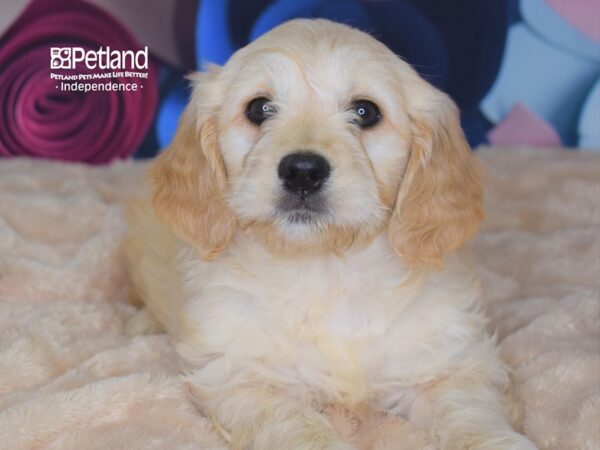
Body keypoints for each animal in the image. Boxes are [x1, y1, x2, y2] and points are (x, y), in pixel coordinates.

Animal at [126, 19, 540, 448]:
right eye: (258, 108)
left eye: (365, 111)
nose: (302, 171)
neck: (326, 270)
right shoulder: (240, 378)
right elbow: (295, 426)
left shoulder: (446, 366)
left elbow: (470, 415)